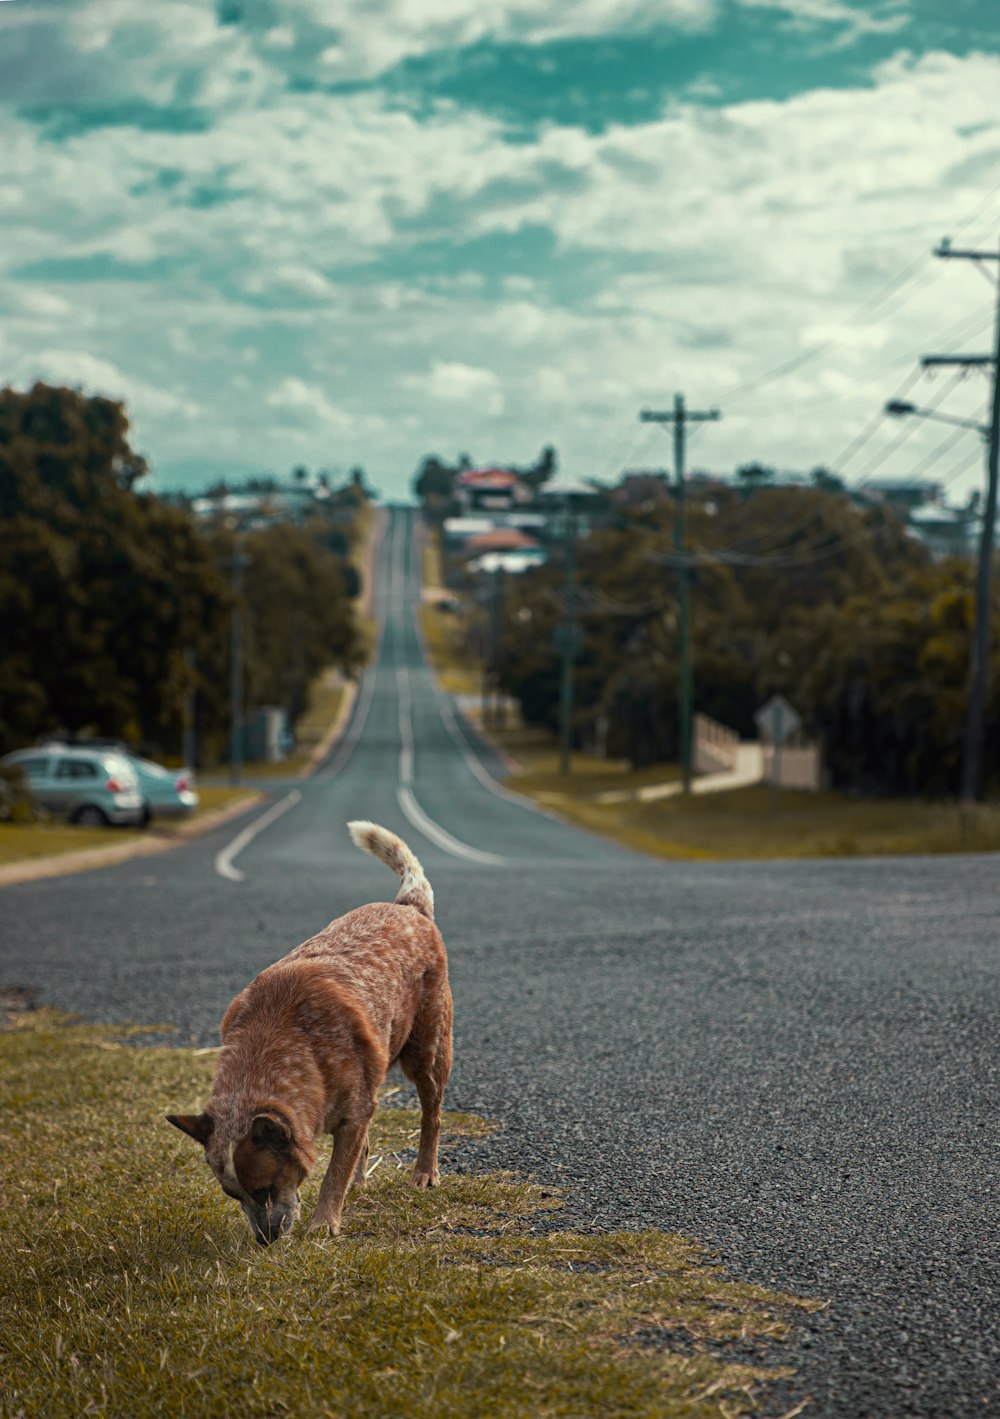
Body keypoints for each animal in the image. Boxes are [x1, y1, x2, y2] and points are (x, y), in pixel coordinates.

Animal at [166, 823, 453, 1243]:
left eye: (266, 1189)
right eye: (233, 1195)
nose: (264, 1240)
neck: (284, 1041)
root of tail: (407, 906)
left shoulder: (354, 1112)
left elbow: (333, 1174)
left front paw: (323, 1223)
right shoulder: (351, 1111)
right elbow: (348, 1157)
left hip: (427, 1052)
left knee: (431, 1114)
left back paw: (424, 1173)